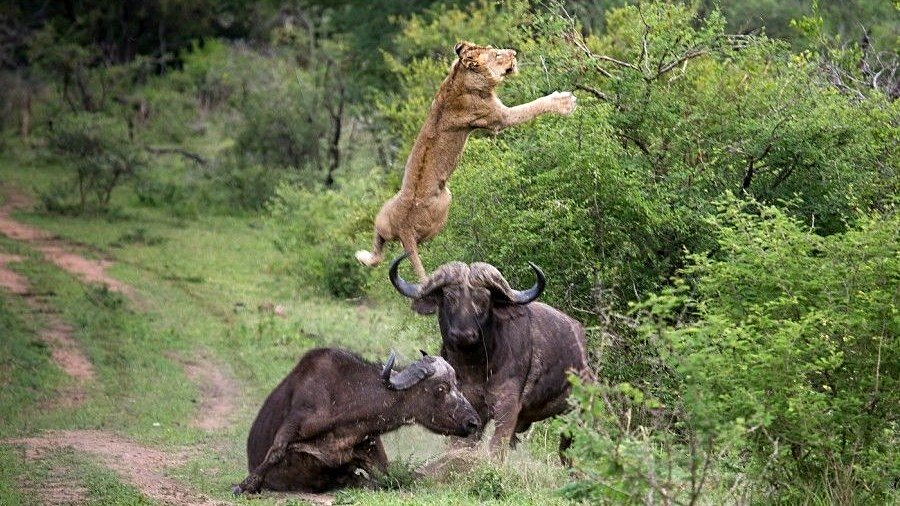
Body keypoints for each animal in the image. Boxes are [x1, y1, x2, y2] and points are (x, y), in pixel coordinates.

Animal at [234, 347, 480, 493]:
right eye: (441, 388)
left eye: (457, 384)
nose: (474, 422)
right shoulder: (297, 419)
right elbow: (276, 451)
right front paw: (246, 485)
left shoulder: (371, 448)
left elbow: (390, 477)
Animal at [355, 41, 577, 280]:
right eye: (497, 54)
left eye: (494, 49)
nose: (514, 53)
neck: (459, 77)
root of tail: (404, 229)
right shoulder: (499, 118)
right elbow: (533, 106)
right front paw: (565, 101)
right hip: (444, 204)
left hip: (383, 217)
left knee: (378, 249)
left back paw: (362, 256)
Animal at [389, 254, 591, 457]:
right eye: (449, 297)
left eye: (483, 301)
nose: (463, 335)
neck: (475, 367)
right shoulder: (469, 407)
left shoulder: (507, 407)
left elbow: (496, 448)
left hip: (576, 417)